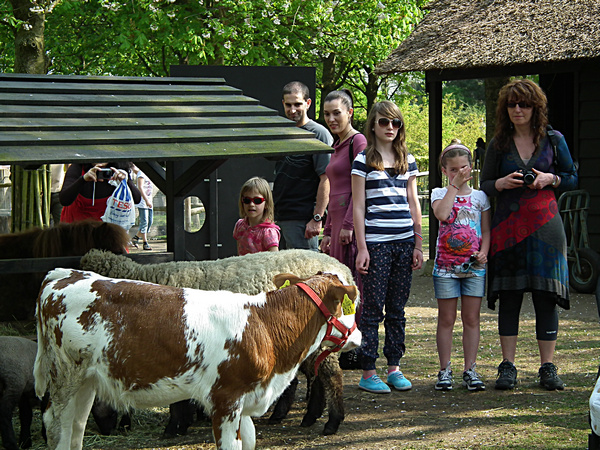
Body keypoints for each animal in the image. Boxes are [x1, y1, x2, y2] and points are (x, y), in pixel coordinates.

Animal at [35, 268, 360, 448]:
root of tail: (65, 275)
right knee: (56, 424)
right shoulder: (225, 399)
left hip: (86, 380)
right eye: (347, 304)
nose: (358, 337)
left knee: (76, 425)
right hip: (65, 375)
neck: (263, 324)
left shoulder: (245, 403)